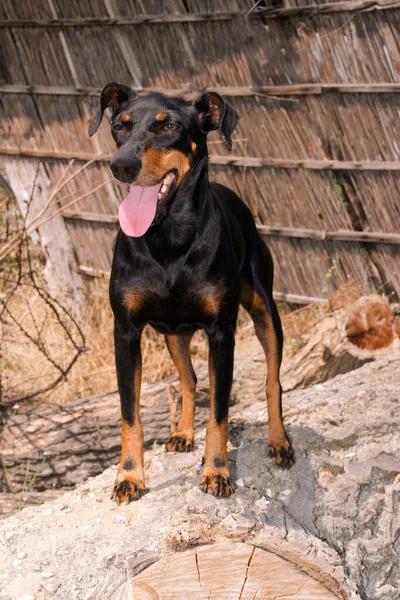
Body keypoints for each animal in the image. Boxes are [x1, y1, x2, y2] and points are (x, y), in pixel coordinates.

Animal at [88, 83, 294, 506]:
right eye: (119, 126)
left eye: (168, 126)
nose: (121, 165)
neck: (167, 237)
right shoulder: (126, 332)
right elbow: (129, 413)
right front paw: (129, 477)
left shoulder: (222, 333)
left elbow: (219, 411)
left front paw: (216, 472)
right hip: (174, 333)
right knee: (189, 378)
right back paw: (182, 433)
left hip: (265, 310)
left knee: (273, 379)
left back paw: (279, 441)